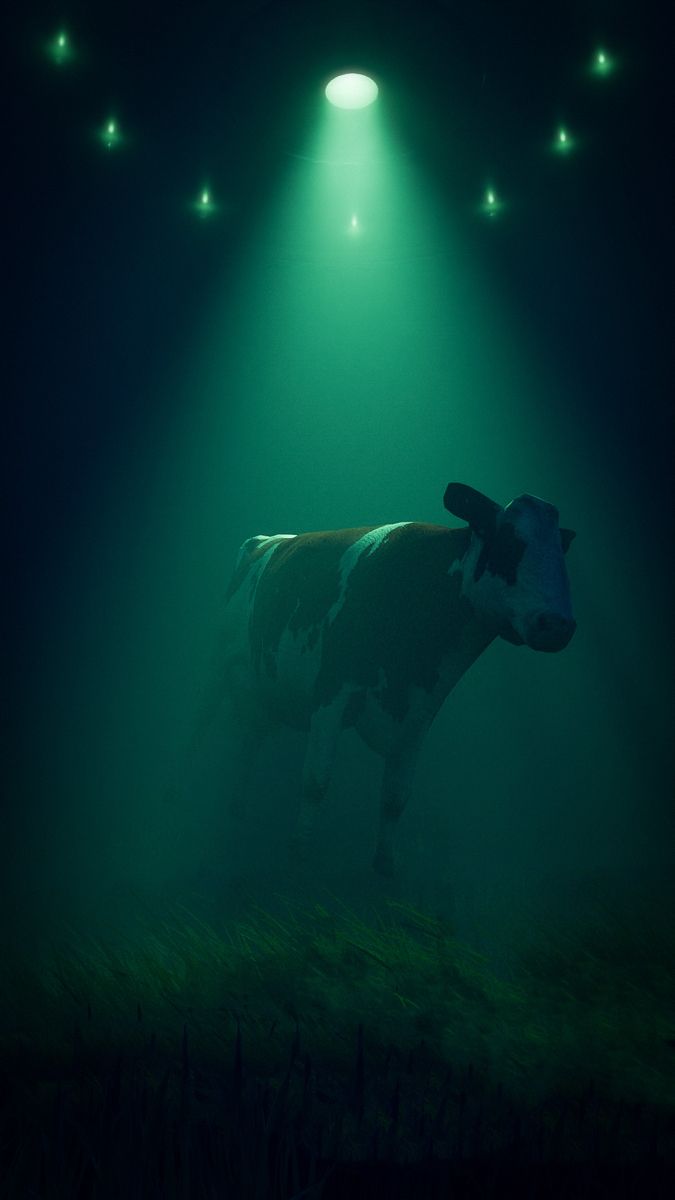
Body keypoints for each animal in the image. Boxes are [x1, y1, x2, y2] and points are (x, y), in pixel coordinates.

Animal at [204, 482, 571, 878]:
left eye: (560, 551)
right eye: (509, 543)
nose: (558, 624)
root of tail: (268, 538)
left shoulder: (420, 713)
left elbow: (396, 797)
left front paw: (384, 866)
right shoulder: (330, 693)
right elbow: (316, 781)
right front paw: (299, 854)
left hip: (262, 690)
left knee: (251, 739)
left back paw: (238, 808)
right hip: (220, 666)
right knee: (204, 724)